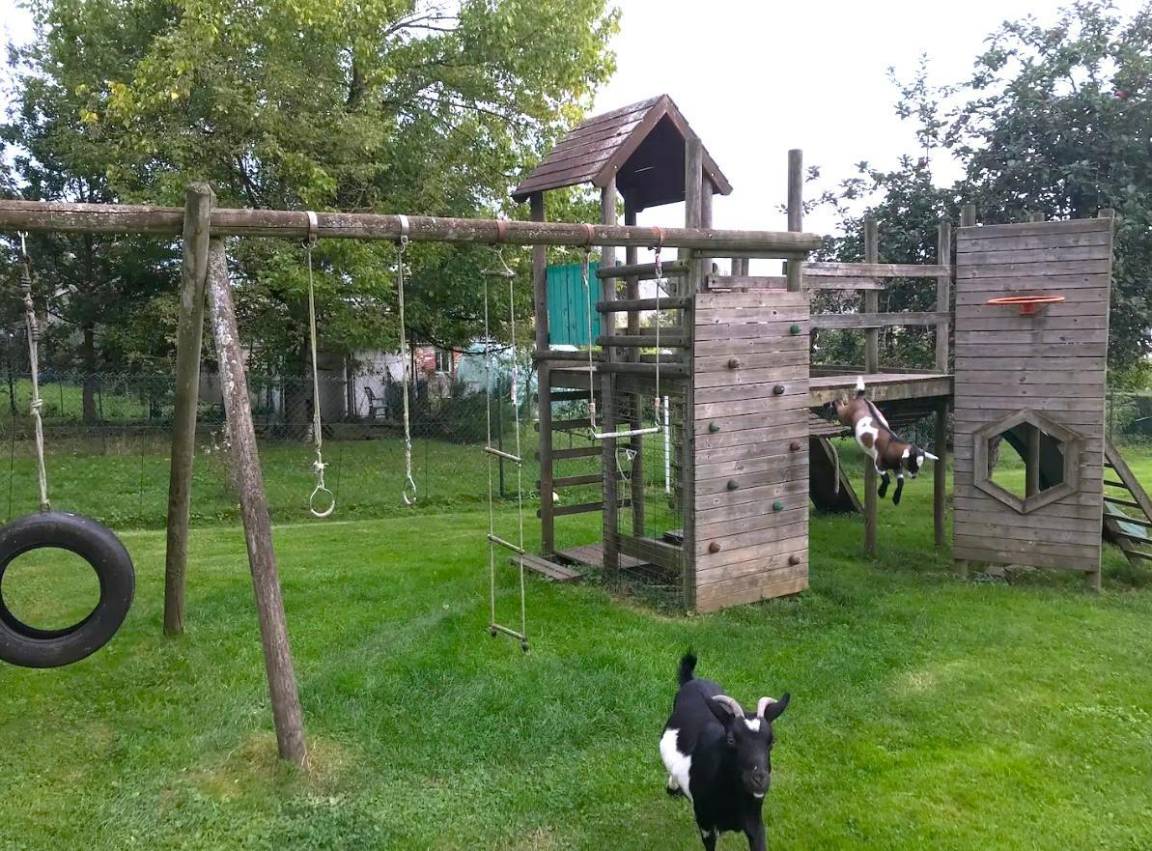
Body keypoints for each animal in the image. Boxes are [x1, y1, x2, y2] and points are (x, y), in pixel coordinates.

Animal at [659, 653, 790, 851]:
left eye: (772, 741)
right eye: (731, 739)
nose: (759, 780)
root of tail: (692, 680)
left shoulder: (755, 820)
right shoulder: (706, 823)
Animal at [828, 376, 937, 505]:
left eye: (920, 463)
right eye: (911, 462)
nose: (914, 476)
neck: (892, 444)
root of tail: (860, 399)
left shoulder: (897, 467)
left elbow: (901, 482)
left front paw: (896, 499)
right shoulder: (879, 464)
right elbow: (887, 479)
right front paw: (881, 493)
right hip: (845, 415)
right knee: (840, 406)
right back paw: (832, 404)